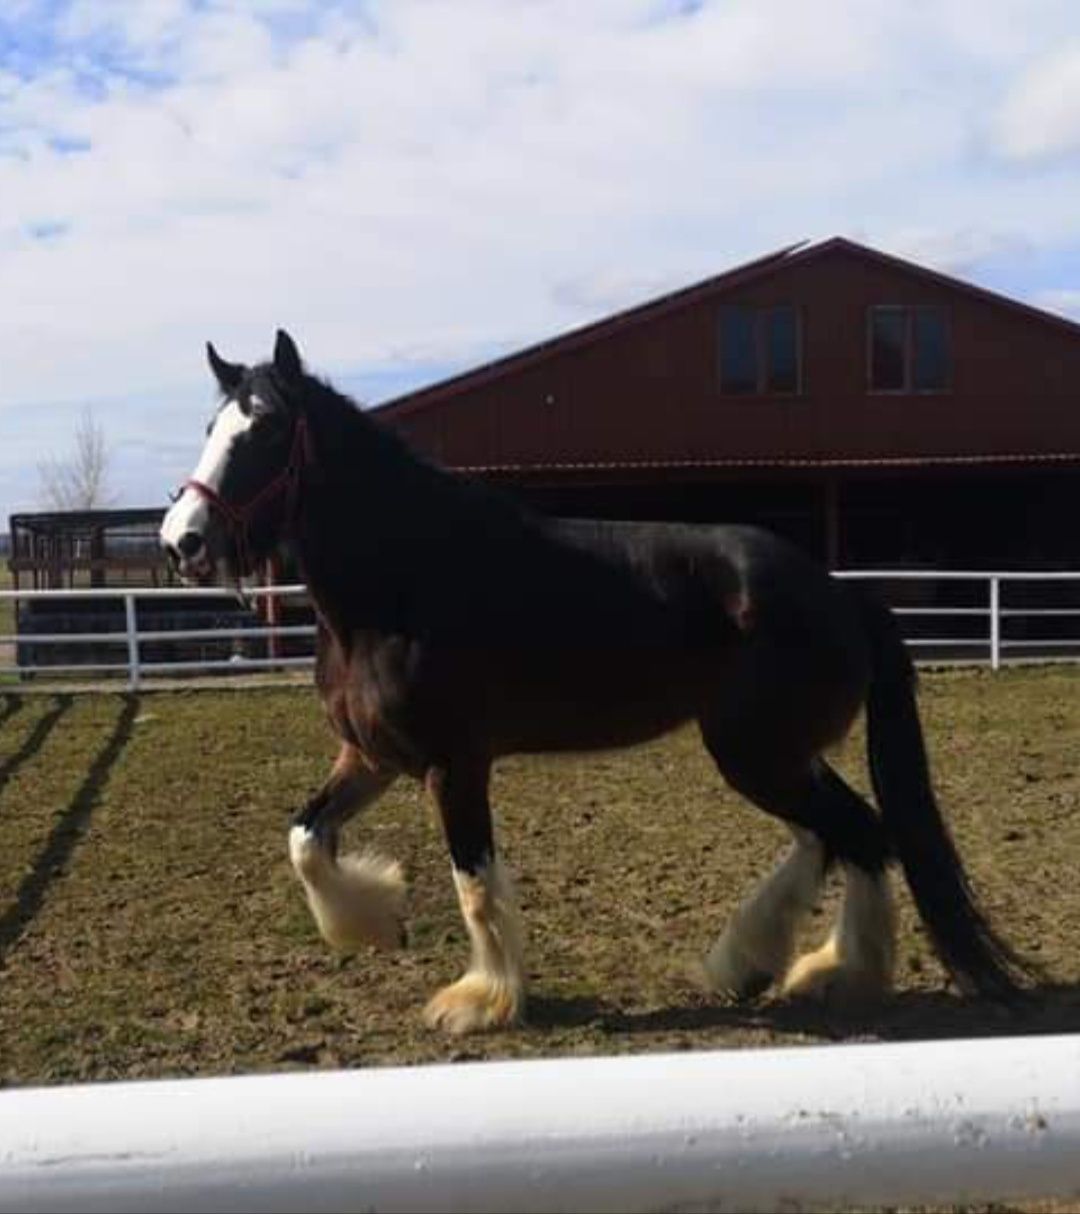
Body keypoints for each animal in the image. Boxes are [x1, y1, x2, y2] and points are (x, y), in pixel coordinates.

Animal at [157, 330, 1029, 1034]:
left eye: (266, 428)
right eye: (210, 429)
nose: (181, 542)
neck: (405, 579)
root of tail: (841, 592)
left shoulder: (454, 765)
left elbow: (474, 883)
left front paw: (482, 1000)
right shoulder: (371, 758)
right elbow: (306, 840)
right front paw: (375, 921)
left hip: (759, 754)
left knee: (860, 835)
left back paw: (830, 972)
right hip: (777, 755)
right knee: (834, 837)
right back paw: (760, 963)